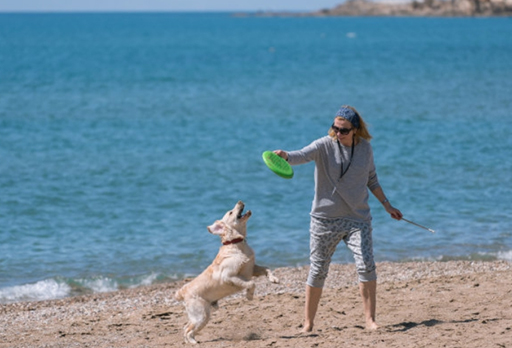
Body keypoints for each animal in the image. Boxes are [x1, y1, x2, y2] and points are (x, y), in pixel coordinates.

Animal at [176, 200, 280, 344]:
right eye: (231, 212)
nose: (240, 201)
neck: (236, 244)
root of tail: (183, 291)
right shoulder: (229, 276)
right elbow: (251, 283)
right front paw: (249, 295)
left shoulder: (251, 268)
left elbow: (266, 268)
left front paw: (274, 279)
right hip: (201, 315)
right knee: (188, 329)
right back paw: (193, 342)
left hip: (201, 315)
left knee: (186, 326)